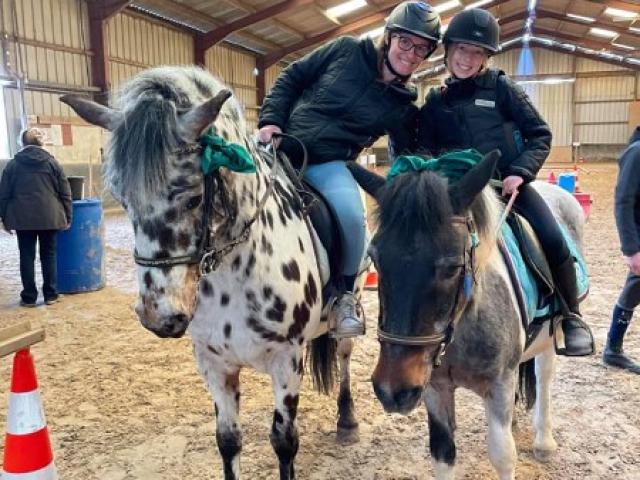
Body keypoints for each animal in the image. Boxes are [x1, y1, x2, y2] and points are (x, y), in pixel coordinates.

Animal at [64, 65, 368, 478]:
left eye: (193, 198)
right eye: (123, 201)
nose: (158, 317)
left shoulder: (286, 362)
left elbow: (284, 443)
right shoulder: (213, 364)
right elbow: (228, 441)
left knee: (345, 352)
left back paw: (347, 419)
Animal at [348, 153, 588, 480]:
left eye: (452, 267)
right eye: (375, 257)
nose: (391, 391)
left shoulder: (499, 383)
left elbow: (503, 456)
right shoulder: (434, 388)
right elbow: (443, 456)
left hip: (553, 334)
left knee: (544, 376)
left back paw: (544, 441)